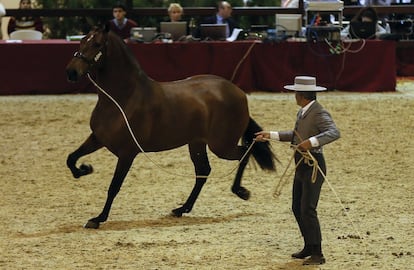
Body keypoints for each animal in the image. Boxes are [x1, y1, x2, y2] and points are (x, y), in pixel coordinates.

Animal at [66, 25, 276, 229]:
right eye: (82, 40)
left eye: (97, 44)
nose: (71, 72)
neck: (123, 99)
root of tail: (238, 92)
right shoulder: (97, 138)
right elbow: (71, 158)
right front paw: (83, 170)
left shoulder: (127, 153)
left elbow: (114, 186)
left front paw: (98, 218)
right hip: (197, 144)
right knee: (204, 171)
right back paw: (182, 209)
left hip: (221, 145)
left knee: (244, 153)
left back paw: (240, 191)